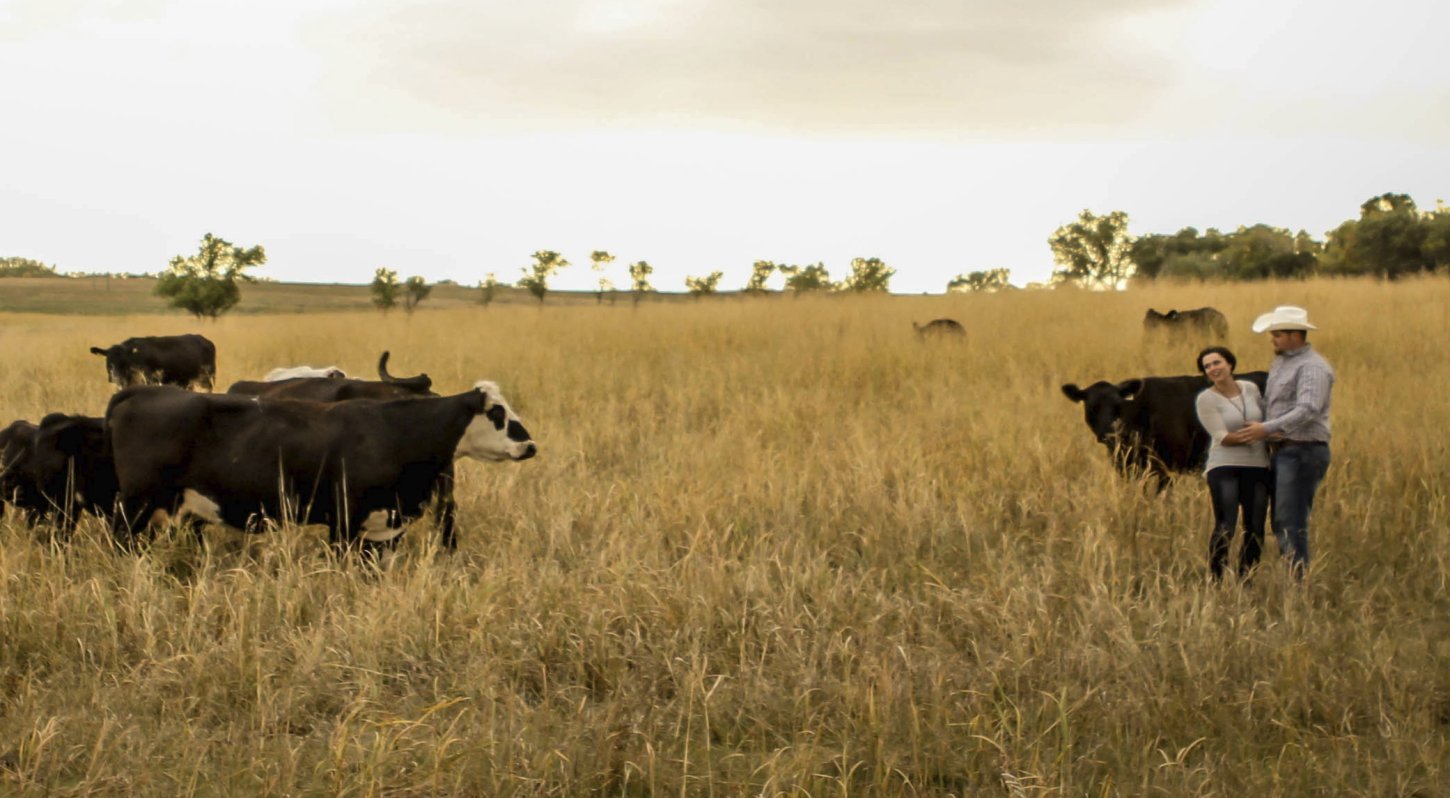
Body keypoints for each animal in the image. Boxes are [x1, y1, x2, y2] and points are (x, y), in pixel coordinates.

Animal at [105, 383, 539, 551]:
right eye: (497, 413)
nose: (530, 445)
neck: (396, 431)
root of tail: (143, 391)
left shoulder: (383, 529)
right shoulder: (344, 525)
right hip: (134, 507)